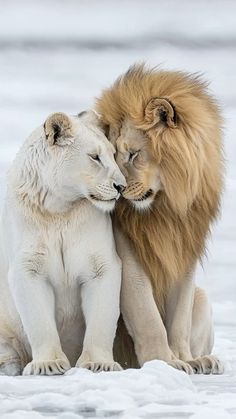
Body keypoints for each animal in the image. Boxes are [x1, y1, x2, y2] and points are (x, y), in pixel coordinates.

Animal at [0, 110, 125, 378]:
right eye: (94, 156)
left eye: (113, 154)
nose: (121, 186)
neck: (58, 209)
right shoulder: (30, 225)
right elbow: (31, 282)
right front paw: (48, 364)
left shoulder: (88, 223)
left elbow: (102, 274)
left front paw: (99, 363)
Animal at [96, 65, 225, 374]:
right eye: (112, 155)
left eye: (133, 154)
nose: (119, 188)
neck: (165, 208)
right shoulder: (127, 254)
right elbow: (148, 317)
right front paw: (164, 363)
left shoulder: (185, 251)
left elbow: (178, 319)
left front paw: (185, 359)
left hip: (203, 300)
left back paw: (207, 360)